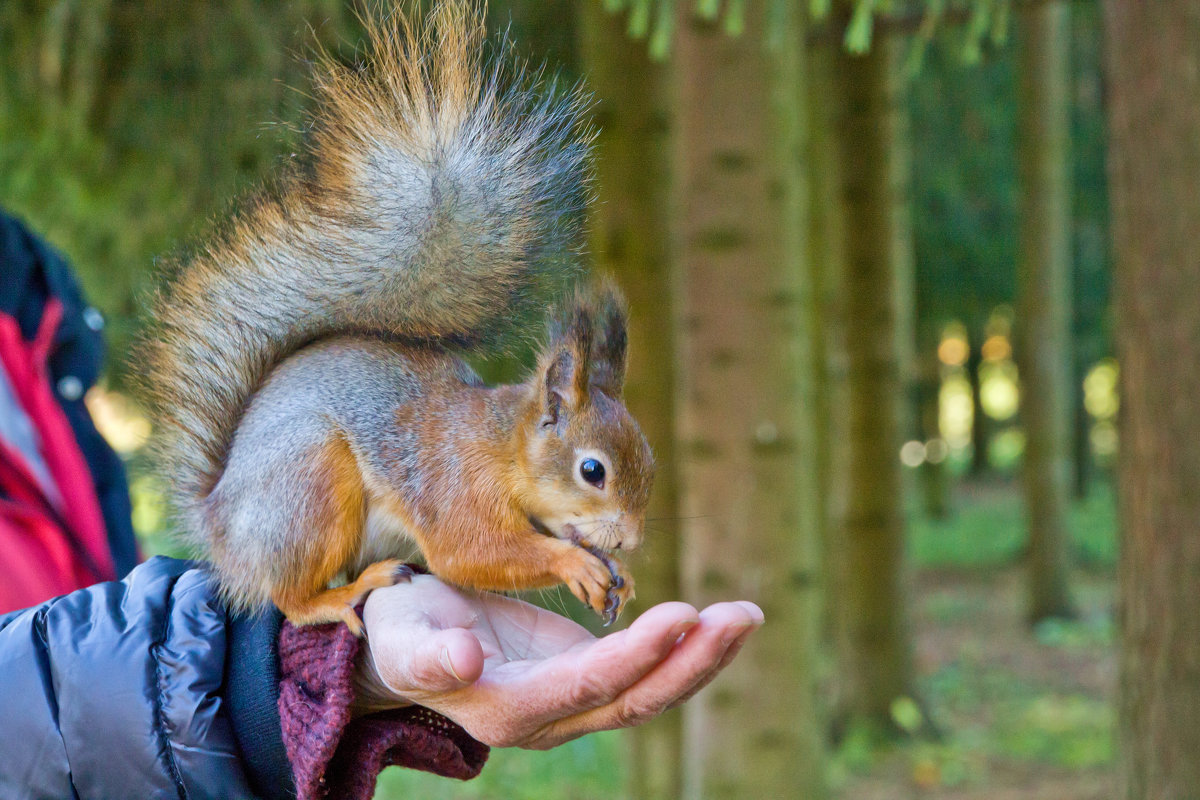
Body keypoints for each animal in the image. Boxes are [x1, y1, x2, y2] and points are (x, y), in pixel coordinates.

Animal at [146, 3, 662, 633]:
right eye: (593, 471)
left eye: (648, 457)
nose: (631, 540)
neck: (500, 449)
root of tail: (219, 526)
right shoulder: (454, 487)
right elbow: (469, 552)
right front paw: (577, 564)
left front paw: (617, 575)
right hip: (309, 487)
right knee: (289, 598)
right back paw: (343, 594)